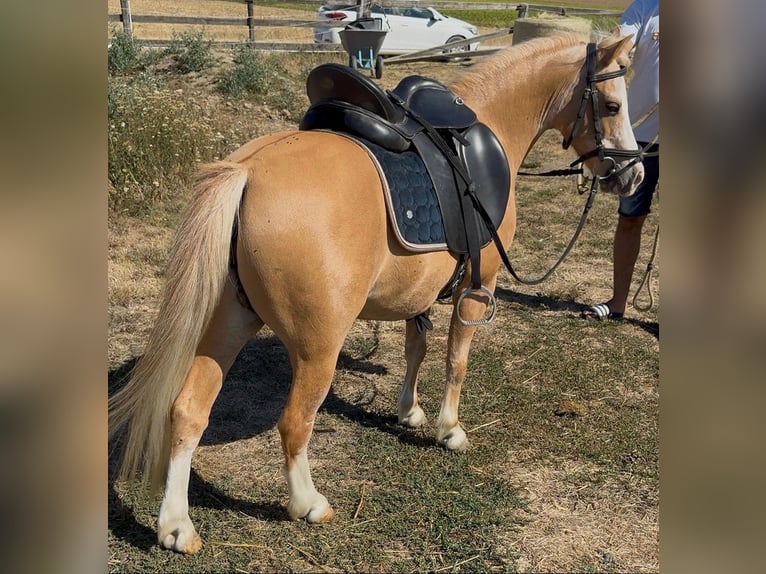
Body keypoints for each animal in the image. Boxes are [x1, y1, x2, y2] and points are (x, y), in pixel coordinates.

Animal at [109, 34, 643, 554]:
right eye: (613, 105)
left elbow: (416, 348)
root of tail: (248, 172)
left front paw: (409, 411)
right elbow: (455, 360)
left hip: (228, 323)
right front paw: (449, 430)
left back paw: (176, 526)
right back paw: (308, 503)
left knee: (187, 412)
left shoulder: (418, 293)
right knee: (294, 423)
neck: (489, 123)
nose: (633, 174)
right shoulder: (479, 287)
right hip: (317, 348)